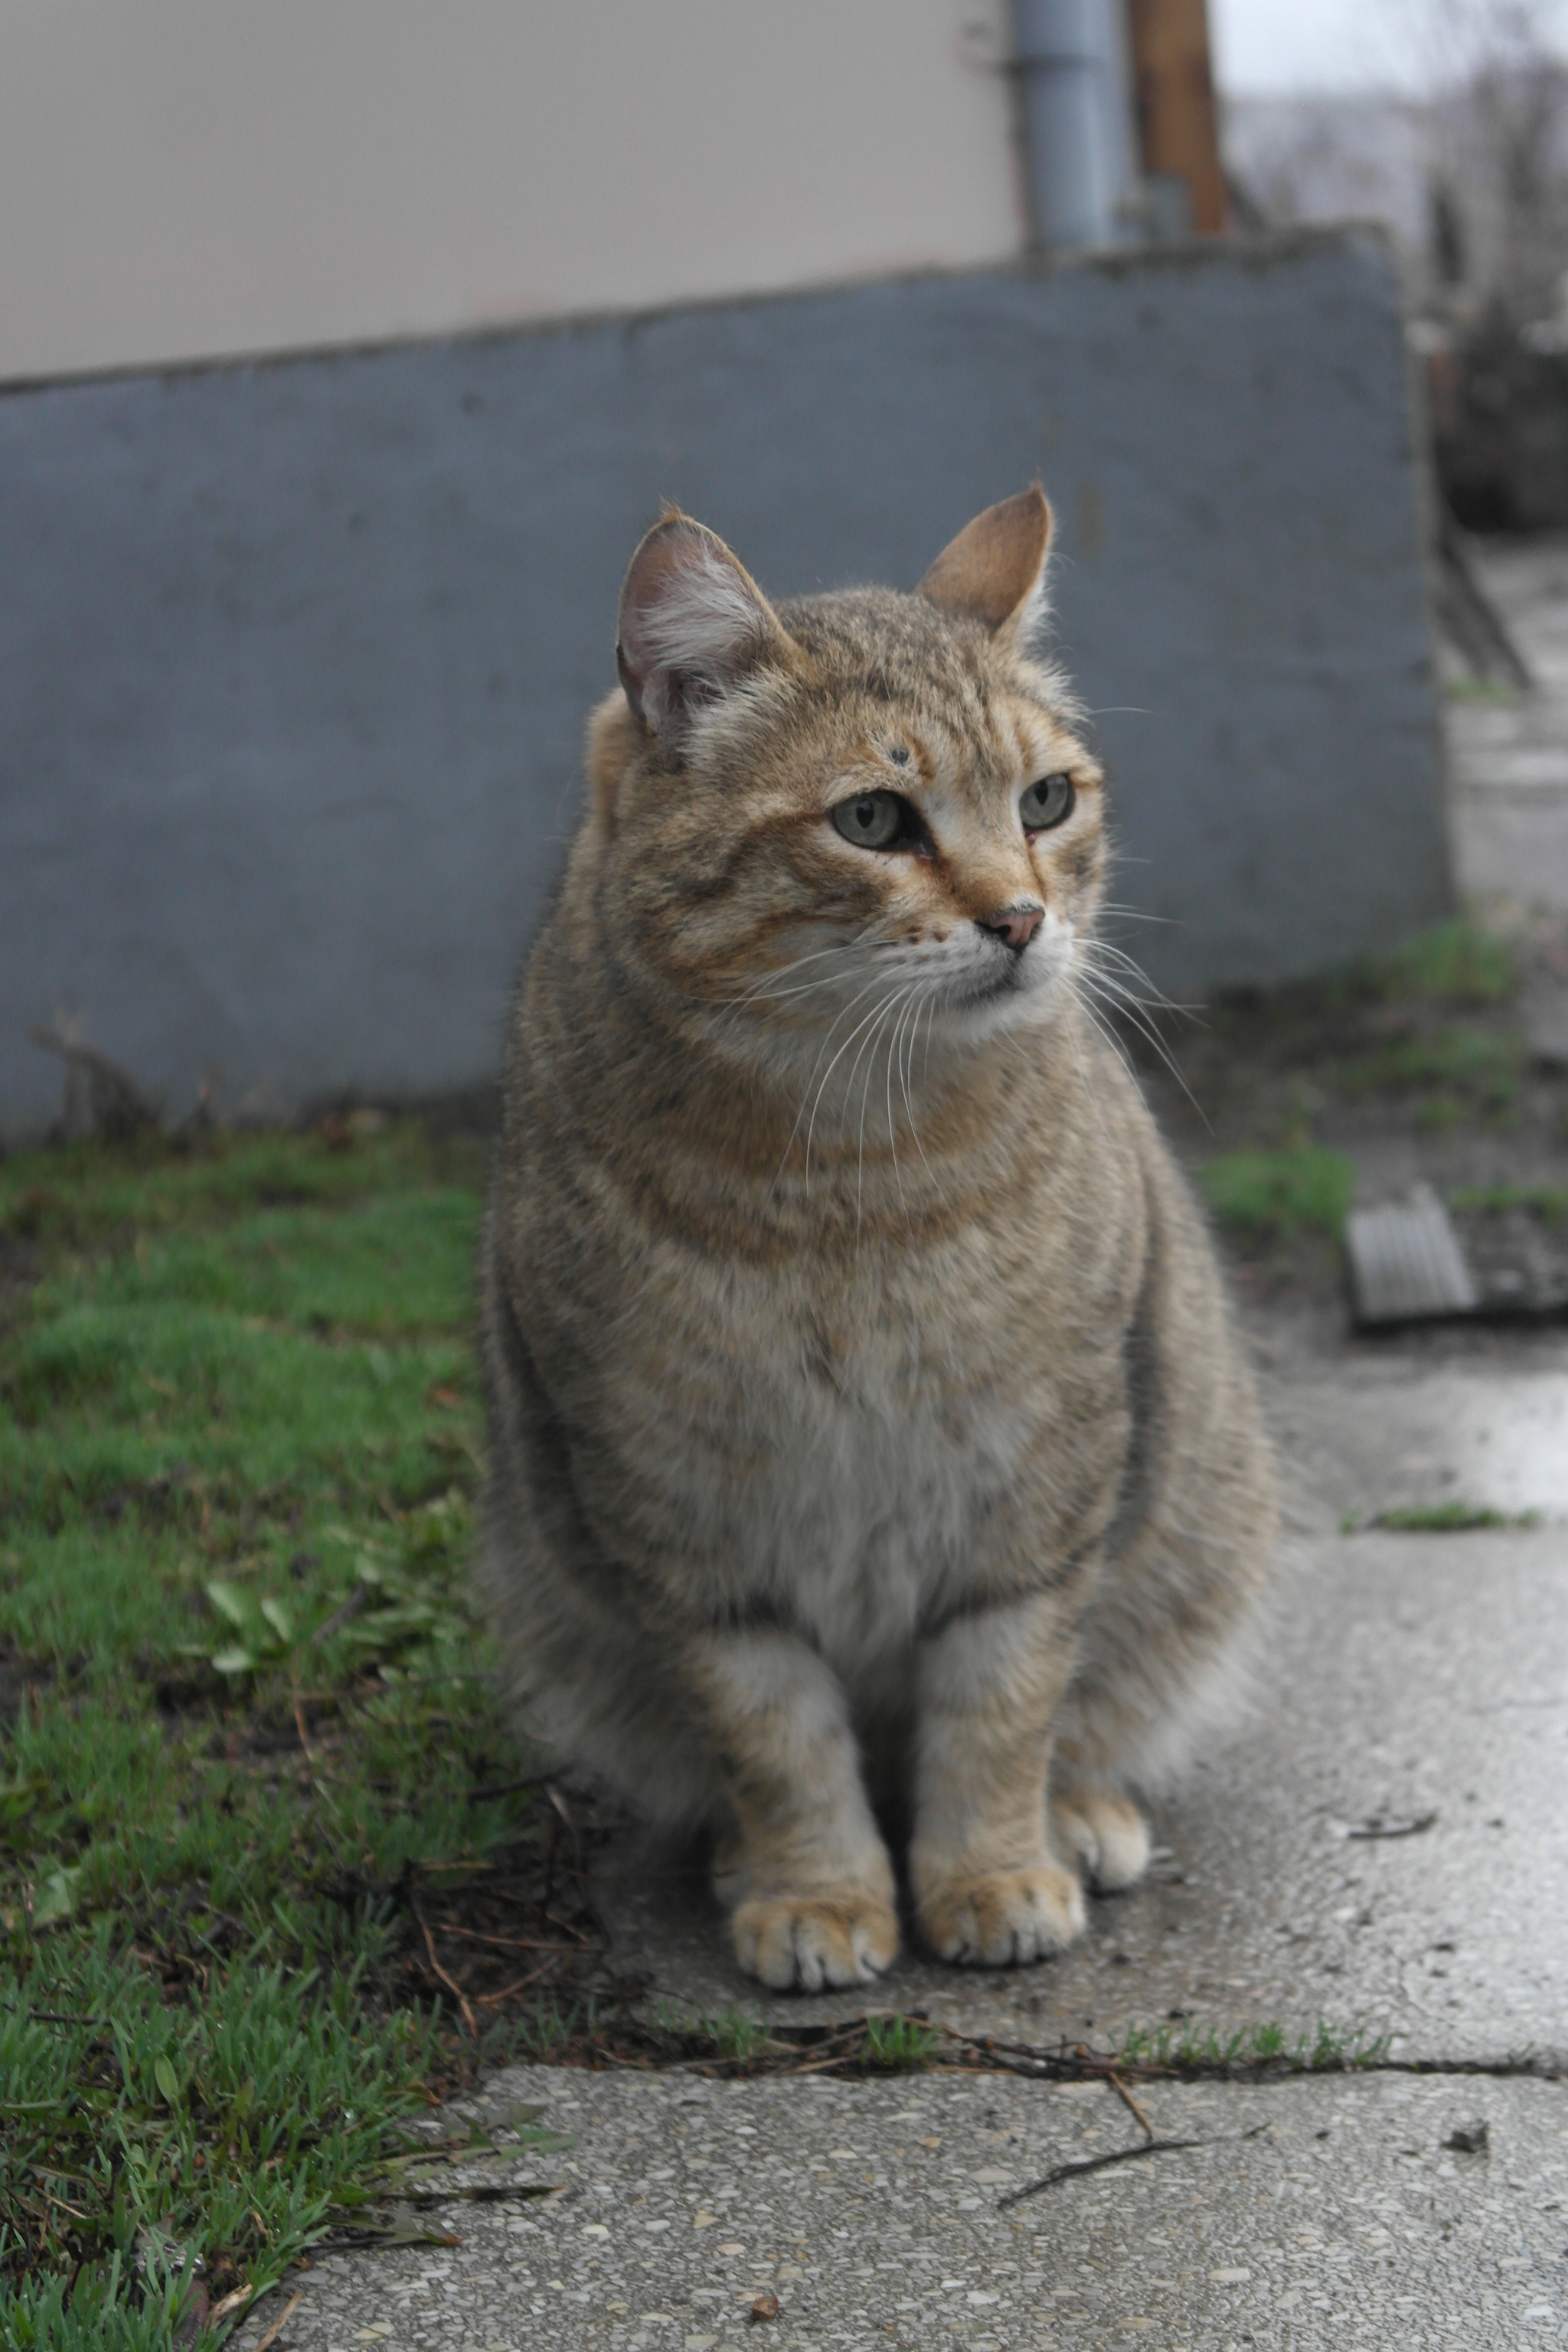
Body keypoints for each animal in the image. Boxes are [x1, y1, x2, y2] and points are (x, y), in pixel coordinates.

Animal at [479, 486, 1279, 1994]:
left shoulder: (1038, 1484)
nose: (1020, 917)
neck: (853, 1178)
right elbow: (774, 1736)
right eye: (870, 817)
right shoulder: (677, 1515)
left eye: (1044, 800)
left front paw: (991, 1871)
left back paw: (1077, 1816)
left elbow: (1002, 1704)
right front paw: (814, 1889)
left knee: (1092, 1709)